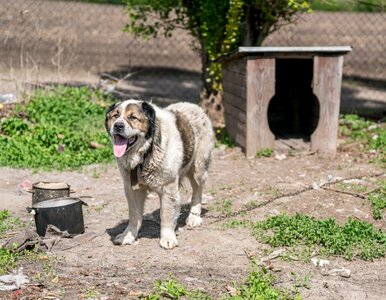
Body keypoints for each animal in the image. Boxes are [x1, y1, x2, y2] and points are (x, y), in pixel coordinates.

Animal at [105, 100, 214, 248]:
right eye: (115, 116)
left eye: (133, 117)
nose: (118, 125)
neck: (146, 153)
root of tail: (195, 106)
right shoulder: (131, 189)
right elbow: (133, 214)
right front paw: (128, 235)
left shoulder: (168, 187)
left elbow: (166, 214)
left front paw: (167, 237)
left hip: (198, 168)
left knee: (197, 192)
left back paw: (194, 217)